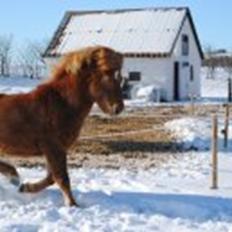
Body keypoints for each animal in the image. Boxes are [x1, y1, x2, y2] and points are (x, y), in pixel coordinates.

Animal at [0, 46, 124, 206]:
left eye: (119, 77)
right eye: (106, 75)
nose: (118, 108)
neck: (62, 104)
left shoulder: (55, 149)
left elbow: (51, 178)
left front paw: (26, 187)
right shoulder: (53, 147)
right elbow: (62, 178)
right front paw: (72, 204)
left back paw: (13, 177)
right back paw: (13, 176)